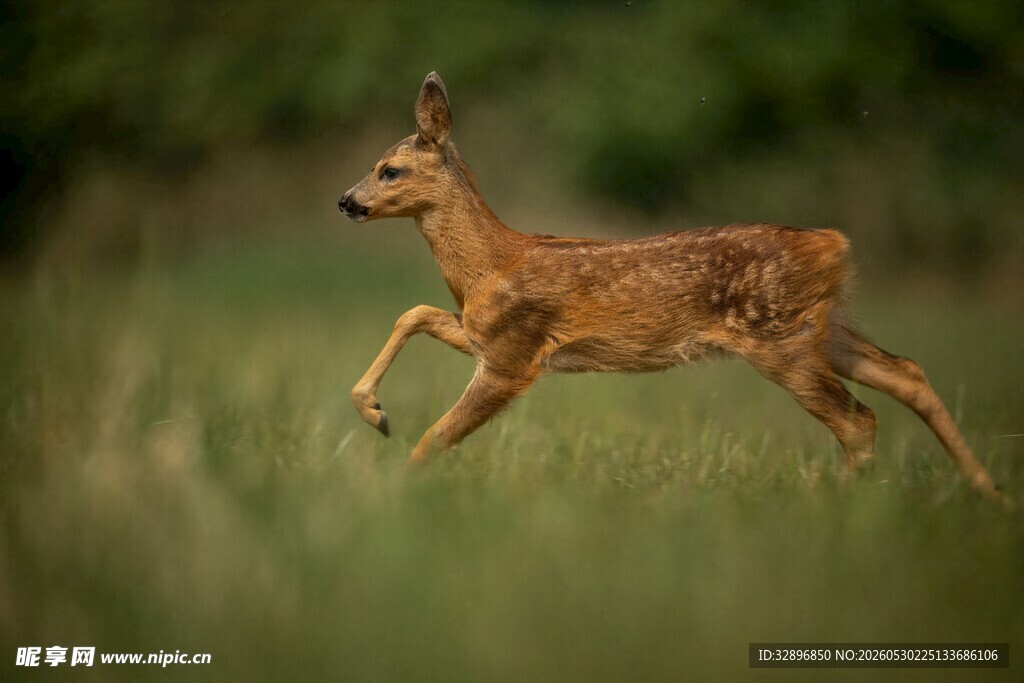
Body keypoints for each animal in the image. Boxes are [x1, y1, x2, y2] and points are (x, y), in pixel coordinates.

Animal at [338, 71, 1008, 504]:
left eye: (389, 170)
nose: (346, 200)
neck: (489, 265)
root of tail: (832, 246)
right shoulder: (483, 333)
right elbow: (414, 311)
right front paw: (374, 412)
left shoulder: (511, 355)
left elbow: (437, 435)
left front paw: (394, 483)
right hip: (823, 329)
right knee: (908, 373)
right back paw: (990, 492)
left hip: (779, 340)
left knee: (859, 419)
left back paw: (846, 510)